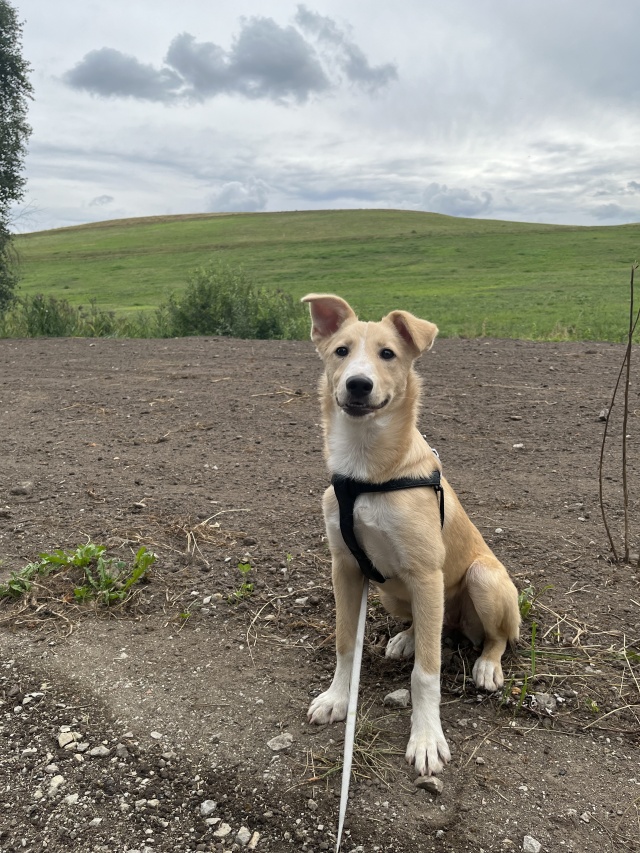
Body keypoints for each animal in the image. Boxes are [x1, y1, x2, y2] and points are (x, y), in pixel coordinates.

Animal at [302, 293, 521, 777]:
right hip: (391, 592)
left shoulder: (425, 573)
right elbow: (346, 643)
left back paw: (486, 666)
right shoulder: (346, 567)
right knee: (428, 627)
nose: (358, 385)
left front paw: (425, 739)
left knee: (488, 637)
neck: (367, 471)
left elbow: (426, 674)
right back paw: (407, 638)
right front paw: (338, 698)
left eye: (388, 354)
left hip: (481, 579)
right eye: (341, 351)